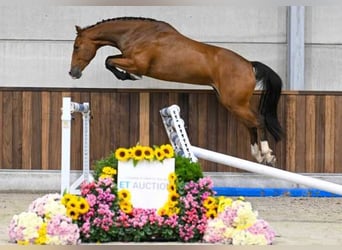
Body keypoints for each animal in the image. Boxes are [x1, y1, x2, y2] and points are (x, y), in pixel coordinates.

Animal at [68, 17, 282, 166]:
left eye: (77, 46)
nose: (73, 73)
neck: (137, 34)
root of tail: (249, 65)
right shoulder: (128, 58)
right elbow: (110, 59)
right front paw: (125, 76)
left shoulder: (138, 64)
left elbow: (109, 61)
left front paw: (128, 76)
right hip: (233, 103)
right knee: (251, 124)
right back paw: (257, 155)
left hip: (235, 103)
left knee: (259, 121)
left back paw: (267, 154)